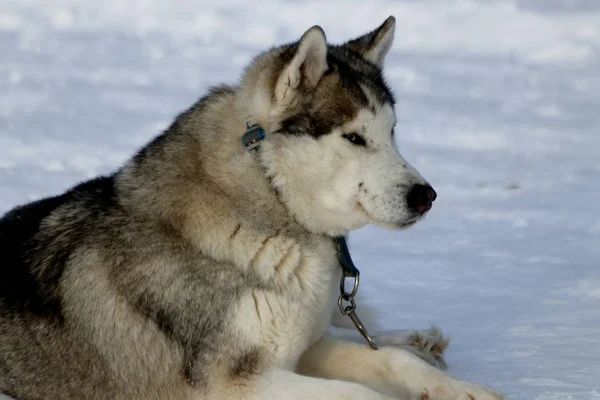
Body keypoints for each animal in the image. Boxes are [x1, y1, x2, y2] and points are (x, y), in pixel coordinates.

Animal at [0, 16, 506, 400]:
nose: (425, 196)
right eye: (354, 138)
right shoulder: (235, 380)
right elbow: (360, 393)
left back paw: (421, 341)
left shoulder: (302, 348)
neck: (269, 198)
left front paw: (461, 389)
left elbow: (388, 361)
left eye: (392, 132)